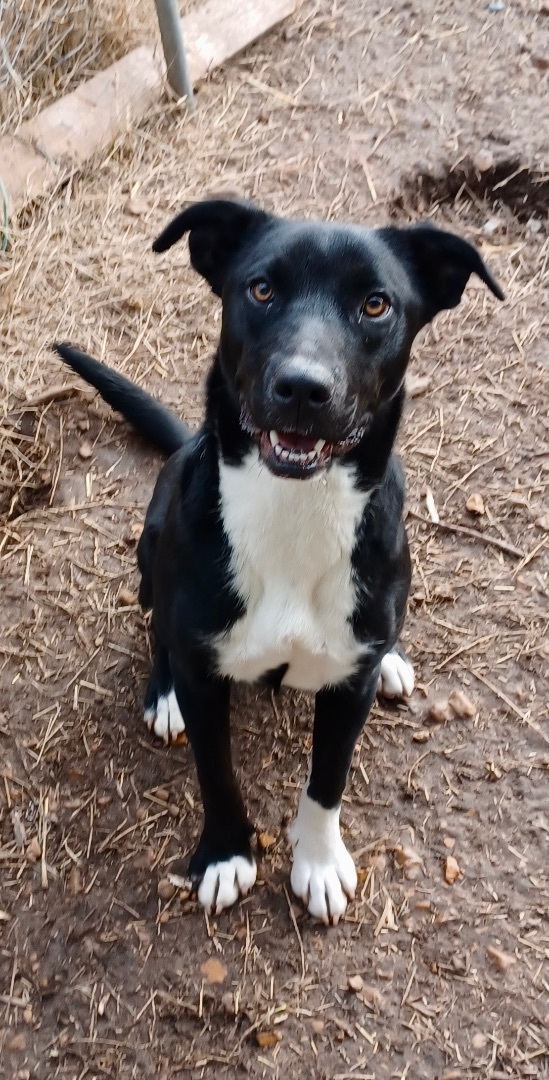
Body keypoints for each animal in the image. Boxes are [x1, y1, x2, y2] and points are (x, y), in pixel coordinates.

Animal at [54, 198, 501, 924]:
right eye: (260, 289)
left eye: (375, 304)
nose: (301, 387)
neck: (295, 509)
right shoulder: (206, 677)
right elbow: (216, 773)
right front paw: (224, 856)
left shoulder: (348, 689)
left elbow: (327, 780)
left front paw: (317, 863)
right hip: (153, 544)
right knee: (158, 630)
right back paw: (162, 691)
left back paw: (394, 660)